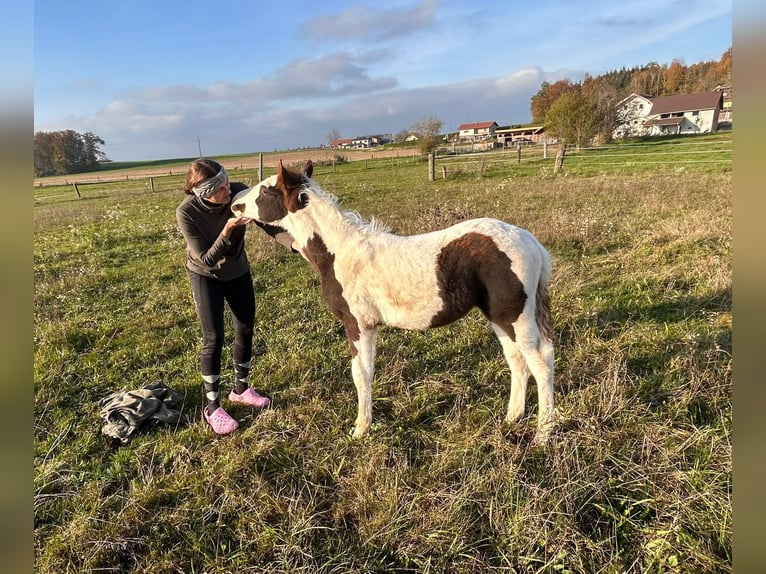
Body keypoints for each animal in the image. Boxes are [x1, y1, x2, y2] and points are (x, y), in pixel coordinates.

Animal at [231, 161, 556, 446]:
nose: (234, 204)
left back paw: (543, 434)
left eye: (266, 191)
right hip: (499, 317)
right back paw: (512, 418)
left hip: (515, 316)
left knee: (541, 364)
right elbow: (367, 371)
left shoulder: (358, 324)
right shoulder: (369, 326)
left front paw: (360, 430)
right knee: (518, 361)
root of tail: (532, 241)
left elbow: (360, 374)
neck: (339, 253)